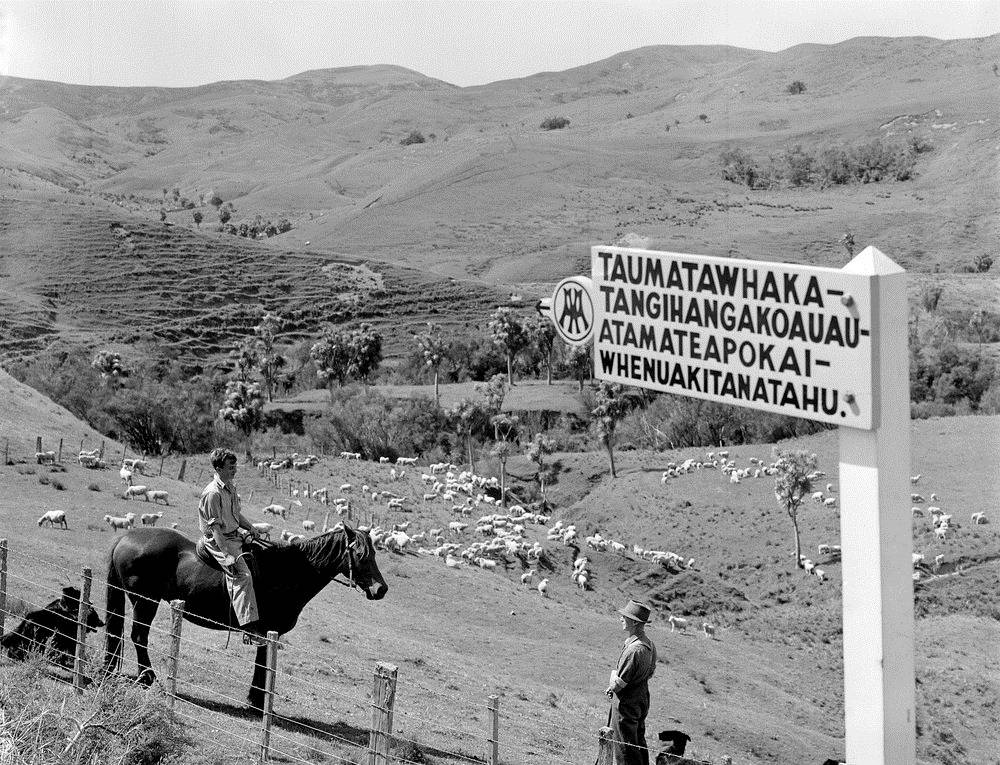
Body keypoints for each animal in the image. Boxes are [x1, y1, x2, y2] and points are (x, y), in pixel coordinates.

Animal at [104, 524, 386, 708]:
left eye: (374, 554)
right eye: (361, 555)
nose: (380, 589)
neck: (288, 572)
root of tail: (125, 538)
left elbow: (262, 663)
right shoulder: (268, 631)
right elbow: (263, 663)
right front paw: (257, 701)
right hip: (145, 602)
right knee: (139, 636)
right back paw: (147, 677)